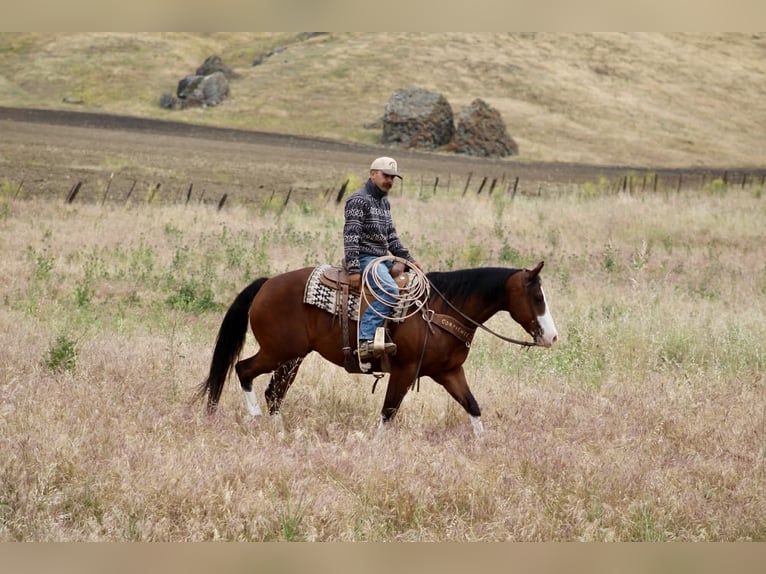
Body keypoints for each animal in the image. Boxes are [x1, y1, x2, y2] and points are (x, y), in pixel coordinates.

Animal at [196, 260, 558, 436]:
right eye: (537, 297)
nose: (552, 337)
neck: (441, 309)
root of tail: (266, 284)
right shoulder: (405, 371)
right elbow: (388, 412)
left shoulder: (449, 372)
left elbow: (473, 407)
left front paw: (483, 445)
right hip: (277, 351)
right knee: (244, 370)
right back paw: (256, 419)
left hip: (293, 357)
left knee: (274, 392)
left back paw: (281, 433)